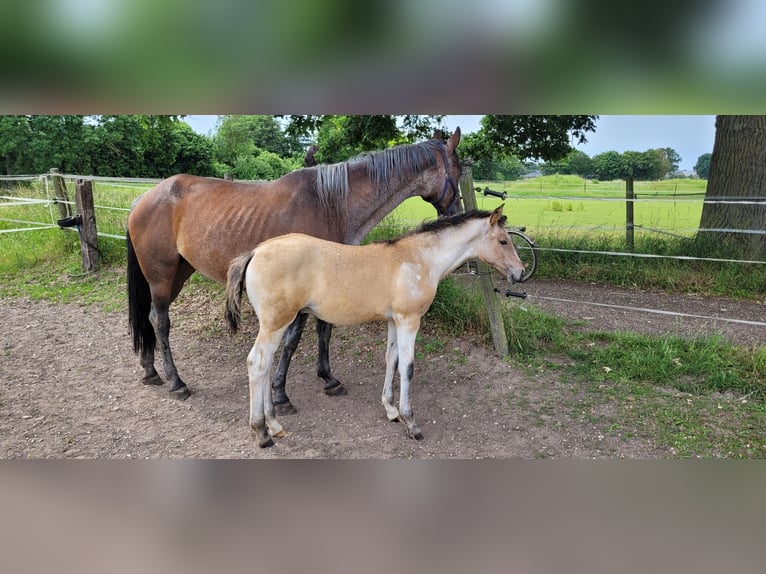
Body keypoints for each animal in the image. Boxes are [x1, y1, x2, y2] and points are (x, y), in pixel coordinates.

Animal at [127, 129, 462, 409]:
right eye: (458, 172)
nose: (456, 212)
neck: (331, 205)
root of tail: (145, 197)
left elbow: (324, 330)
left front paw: (329, 379)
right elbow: (292, 340)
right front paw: (280, 394)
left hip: (176, 274)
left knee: (150, 317)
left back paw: (150, 370)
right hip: (161, 276)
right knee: (160, 321)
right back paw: (176, 382)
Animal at [224, 204, 525, 448]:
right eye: (503, 241)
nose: (520, 273)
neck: (420, 258)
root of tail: (255, 251)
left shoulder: (394, 320)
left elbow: (391, 359)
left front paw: (391, 410)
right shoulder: (409, 319)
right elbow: (407, 367)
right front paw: (410, 422)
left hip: (275, 324)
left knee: (265, 365)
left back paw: (274, 424)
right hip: (275, 323)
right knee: (257, 364)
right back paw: (262, 432)